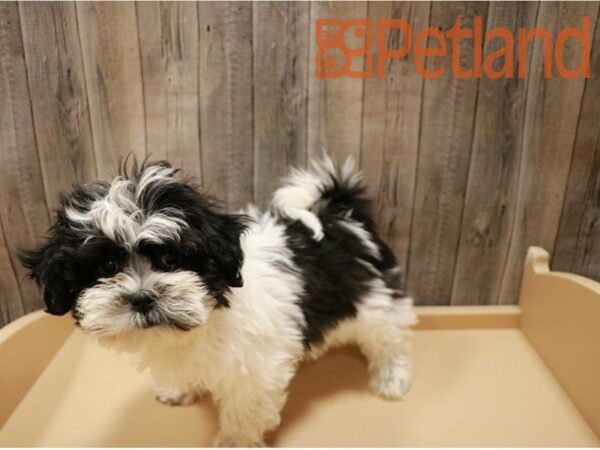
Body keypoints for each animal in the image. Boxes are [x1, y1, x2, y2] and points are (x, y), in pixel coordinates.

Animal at [19, 157, 418, 446]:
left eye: (170, 258)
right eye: (107, 266)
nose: (142, 297)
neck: (211, 312)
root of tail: (341, 216)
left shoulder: (256, 371)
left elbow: (244, 411)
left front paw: (233, 442)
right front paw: (176, 390)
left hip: (373, 300)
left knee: (390, 333)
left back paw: (391, 375)